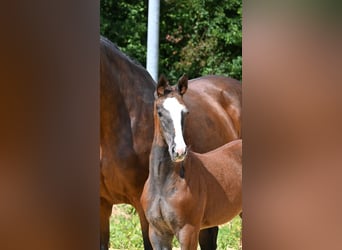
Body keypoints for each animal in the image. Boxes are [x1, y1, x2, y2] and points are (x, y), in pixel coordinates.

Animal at [140, 75, 242, 249]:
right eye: (160, 112)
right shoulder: (157, 233)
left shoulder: (188, 231)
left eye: (185, 112)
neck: (164, 183)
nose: (179, 151)